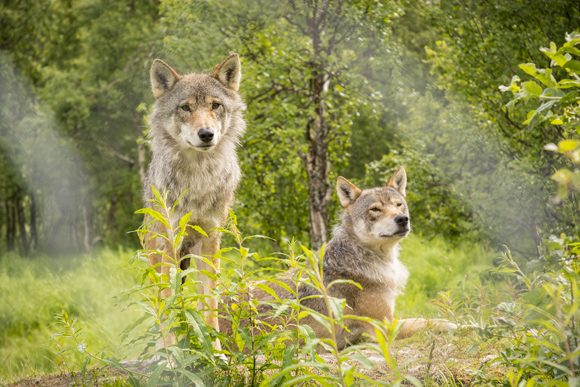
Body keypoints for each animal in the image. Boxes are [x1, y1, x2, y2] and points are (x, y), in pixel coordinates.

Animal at [220, 168, 456, 350]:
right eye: (375, 209)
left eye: (398, 205)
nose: (402, 219)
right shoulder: (385, 327)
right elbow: (428, 322)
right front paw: (457, 325)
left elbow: (426, 320)